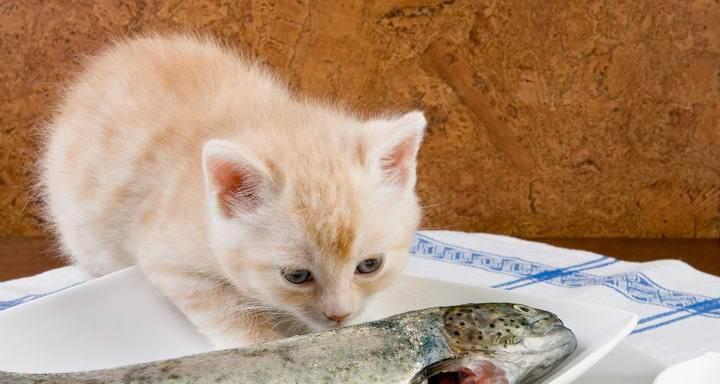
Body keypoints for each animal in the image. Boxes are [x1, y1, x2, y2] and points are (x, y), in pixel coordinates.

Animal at [39, 34, 424, 348]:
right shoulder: (170, 260)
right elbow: (227, 311)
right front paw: (261, 344)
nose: (339, 315)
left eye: (370, 265)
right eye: (296, 276)